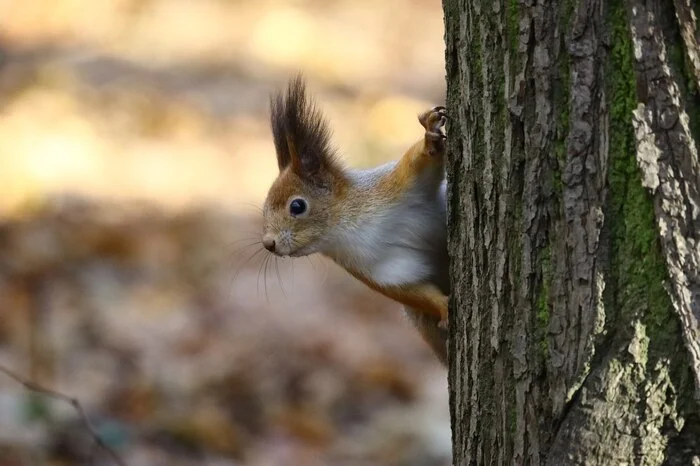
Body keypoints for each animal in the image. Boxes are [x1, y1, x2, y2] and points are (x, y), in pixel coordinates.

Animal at [260, 76, 449, 365]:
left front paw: (431, 137)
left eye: (297, 206)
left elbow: (419, 165)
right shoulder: (379, 270)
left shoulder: (397, 187)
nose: (268, 244)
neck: (347, 231)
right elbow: (414, 292)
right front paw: (444, 306)